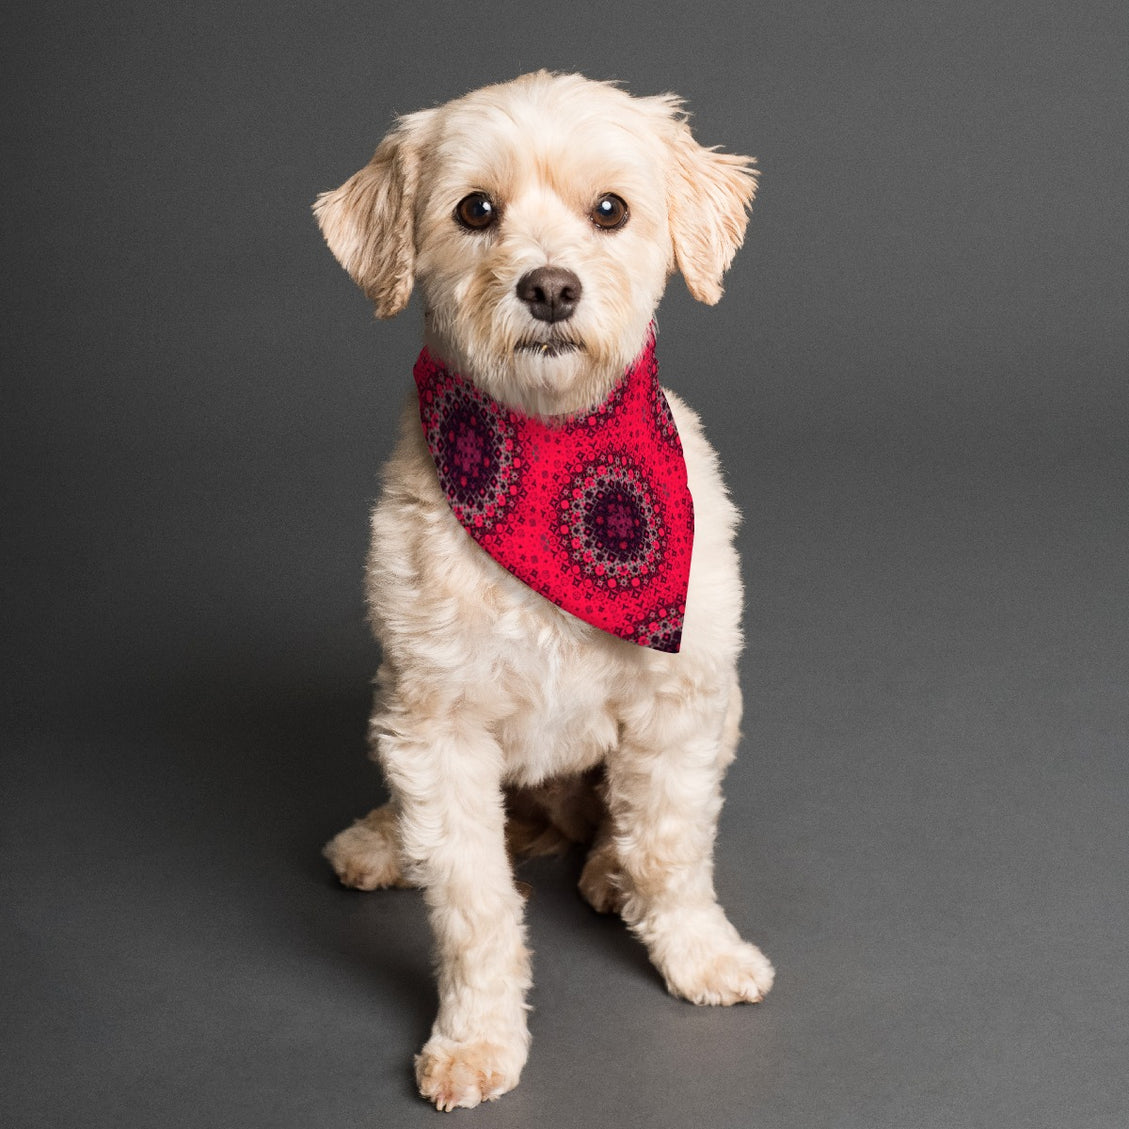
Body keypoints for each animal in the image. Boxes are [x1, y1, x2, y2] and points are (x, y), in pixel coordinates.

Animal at [313, 72, 772, 1110]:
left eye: (610, 210)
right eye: (475, 210)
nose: (551, 287)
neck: (551, 447)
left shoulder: (680, 703)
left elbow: (670, 846)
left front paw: (697, 951)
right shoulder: (434, 726)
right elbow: (471, 904)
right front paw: (476, 1036)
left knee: (618, 826)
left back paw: (605, 869)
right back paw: (382, 841)